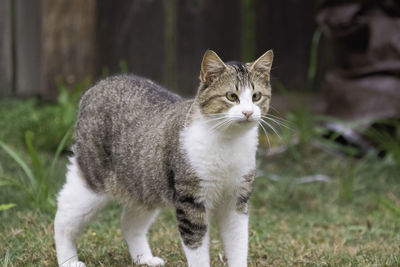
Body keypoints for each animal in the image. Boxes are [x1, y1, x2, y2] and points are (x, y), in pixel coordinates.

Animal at [54, 48, 272, 267]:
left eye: (256, 96)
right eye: (231, 96)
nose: (248, 112)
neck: (228, 141)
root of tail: (99, 85)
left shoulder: (236, 199)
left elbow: (238, 242)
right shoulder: (190, 200)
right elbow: (197, 245)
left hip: (145, 183)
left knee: (129, 222)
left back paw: (144, 259)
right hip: (92, 182)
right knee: (63, 216)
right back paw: (69, 260)